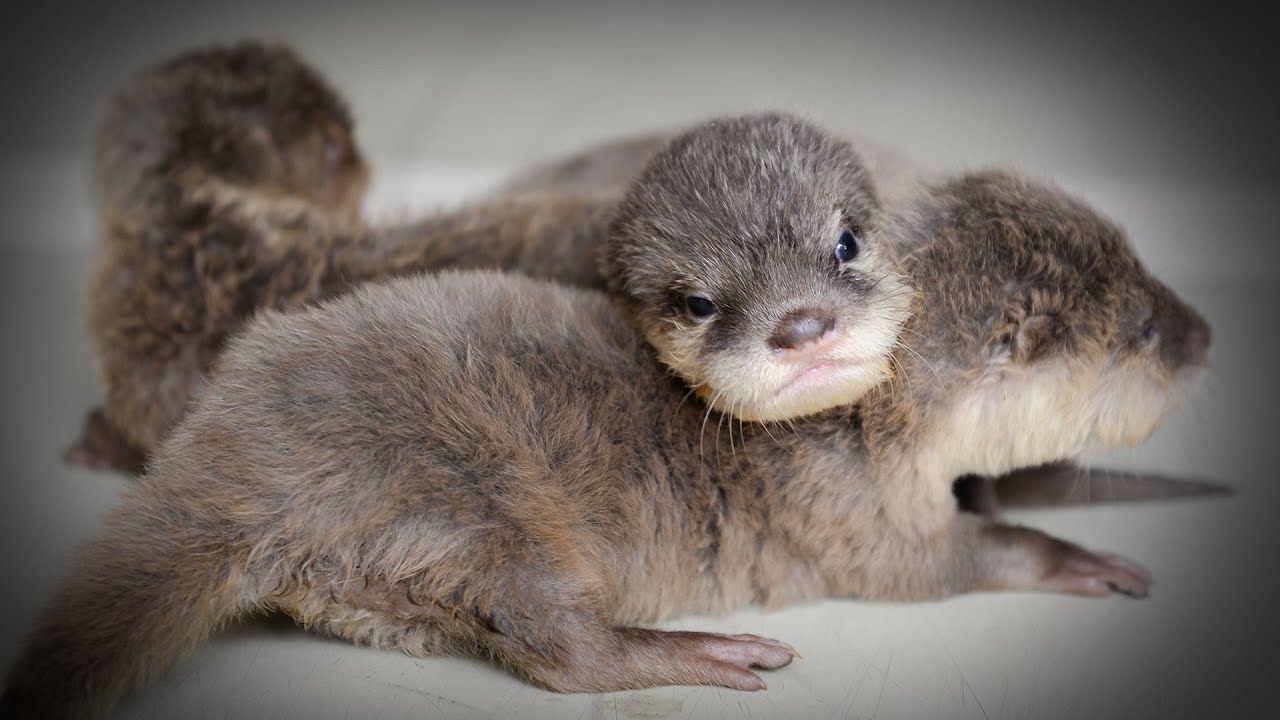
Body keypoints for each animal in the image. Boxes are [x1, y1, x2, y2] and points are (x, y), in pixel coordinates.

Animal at [2, 161, 1208, 712]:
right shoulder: (851, 513)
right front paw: (1072, 554)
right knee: (553, 645)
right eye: (1144, 332)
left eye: (1152, 273)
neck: (859, 421)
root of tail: (237, 458)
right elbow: (949, 562)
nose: (1204, 334)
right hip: (466, 502)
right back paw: (701, 653)